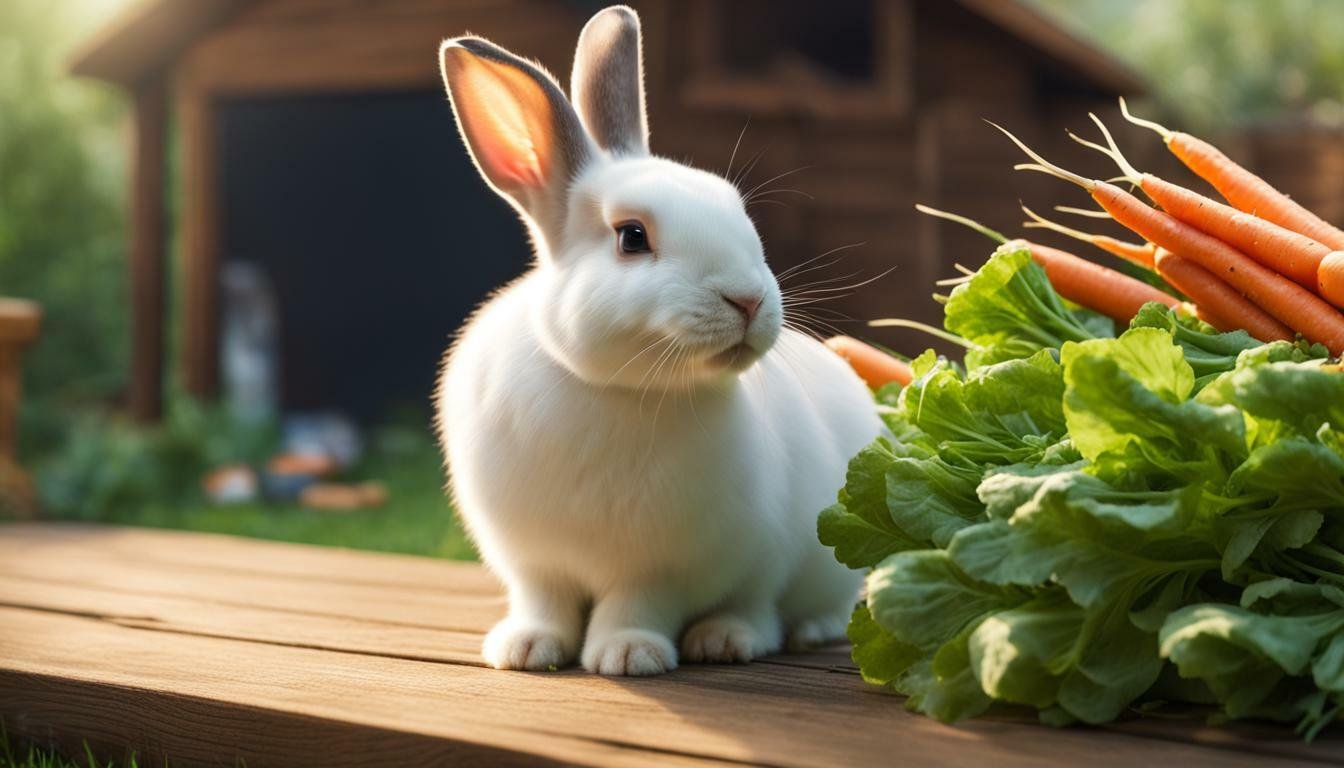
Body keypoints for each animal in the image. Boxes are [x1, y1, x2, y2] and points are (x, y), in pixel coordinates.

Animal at [434, 5, 883, 676]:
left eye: (737, 212)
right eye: (631, 237)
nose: (748, 299)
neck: (613, 388)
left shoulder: (663, 568)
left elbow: (637, 606)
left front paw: (627, 655)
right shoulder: (534, 563)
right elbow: (544, 602)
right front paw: (525, 648)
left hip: (806, 560)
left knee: (771, 607)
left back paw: (734, 639)